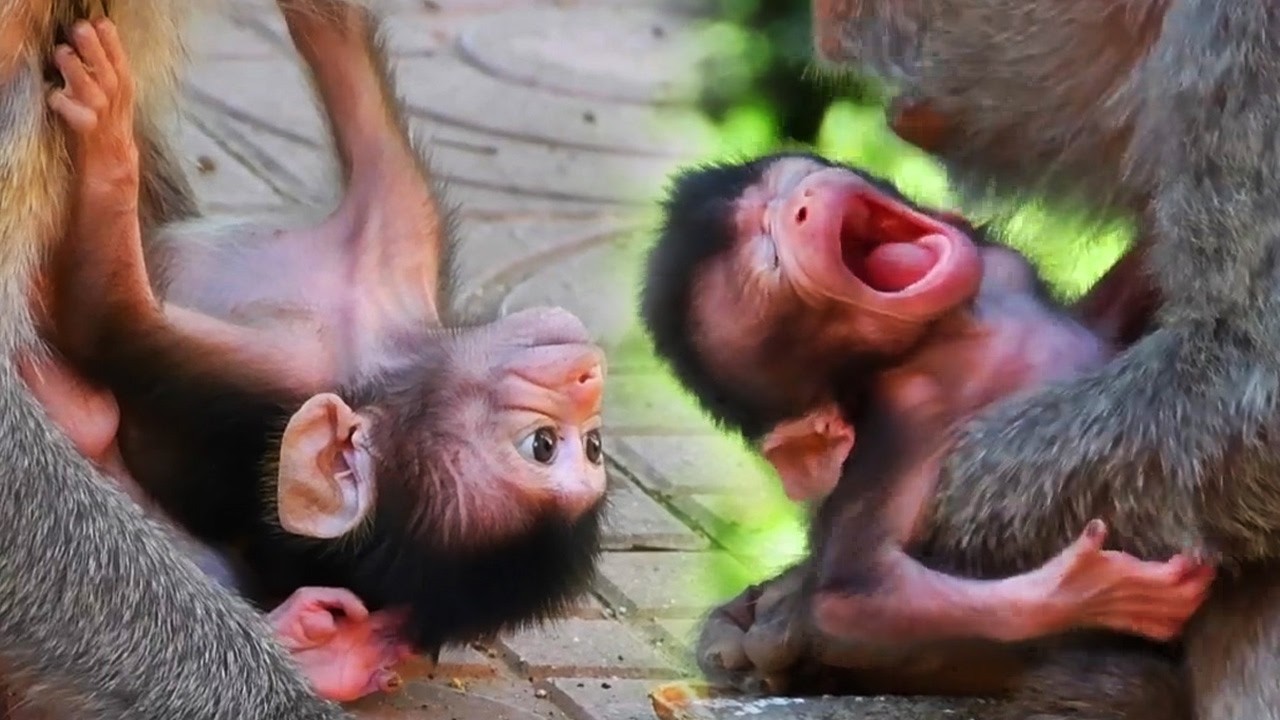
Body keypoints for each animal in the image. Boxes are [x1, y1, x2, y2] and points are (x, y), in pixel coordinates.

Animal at [33, 3, 609, 705]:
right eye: (570, 446)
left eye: (547, 445)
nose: (590, 379)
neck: (382, 341)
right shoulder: (400, 236)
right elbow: (341, 49)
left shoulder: (285, 381)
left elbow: (102, 318)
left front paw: (108, 138)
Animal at [638, 151, 1213, 718]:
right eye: (770, 259)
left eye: (790, 183)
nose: (802, 202)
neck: (952, 327)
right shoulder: (907, 421)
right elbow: (847, 599)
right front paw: (1093, 590)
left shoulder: (1005, 269)